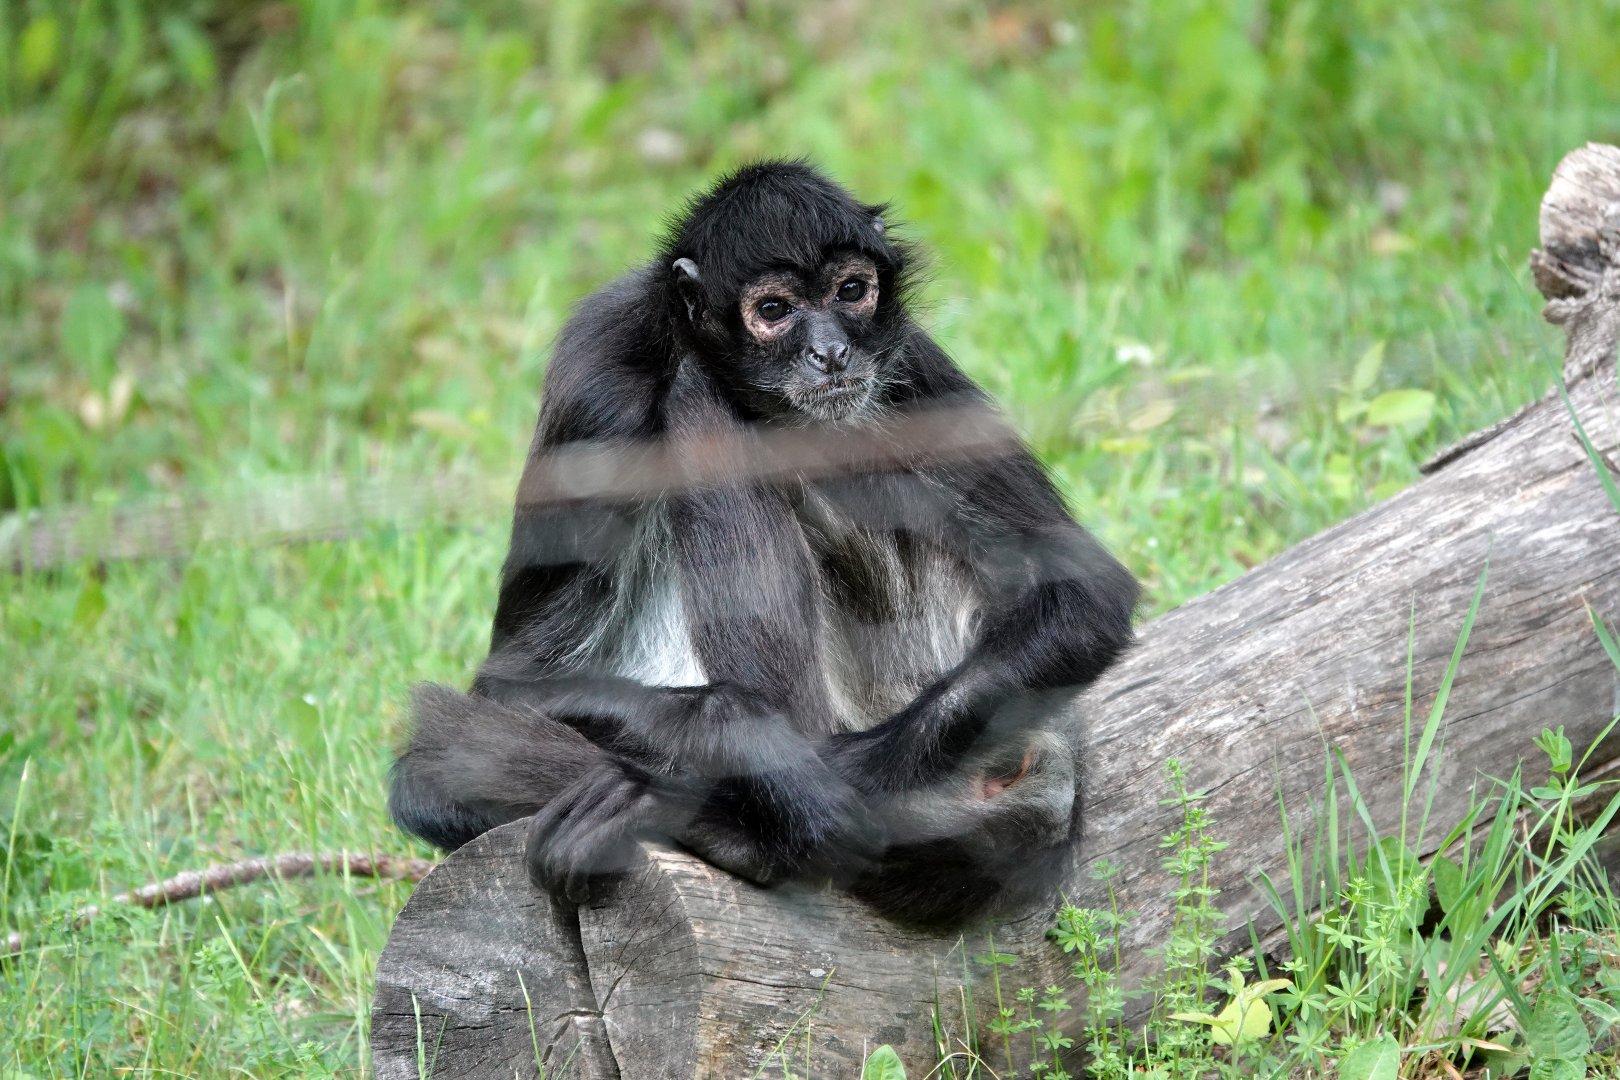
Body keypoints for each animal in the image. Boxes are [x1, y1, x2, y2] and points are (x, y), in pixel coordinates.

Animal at [388, 161, 1139, 928]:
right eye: (774, 310)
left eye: (850, 292)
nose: (831, 351)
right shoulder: (597, 385)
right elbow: (511, 685)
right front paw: (767, 758)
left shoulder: (910, 362)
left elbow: (1084, 595)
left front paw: (823, 781)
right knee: (697, 395)